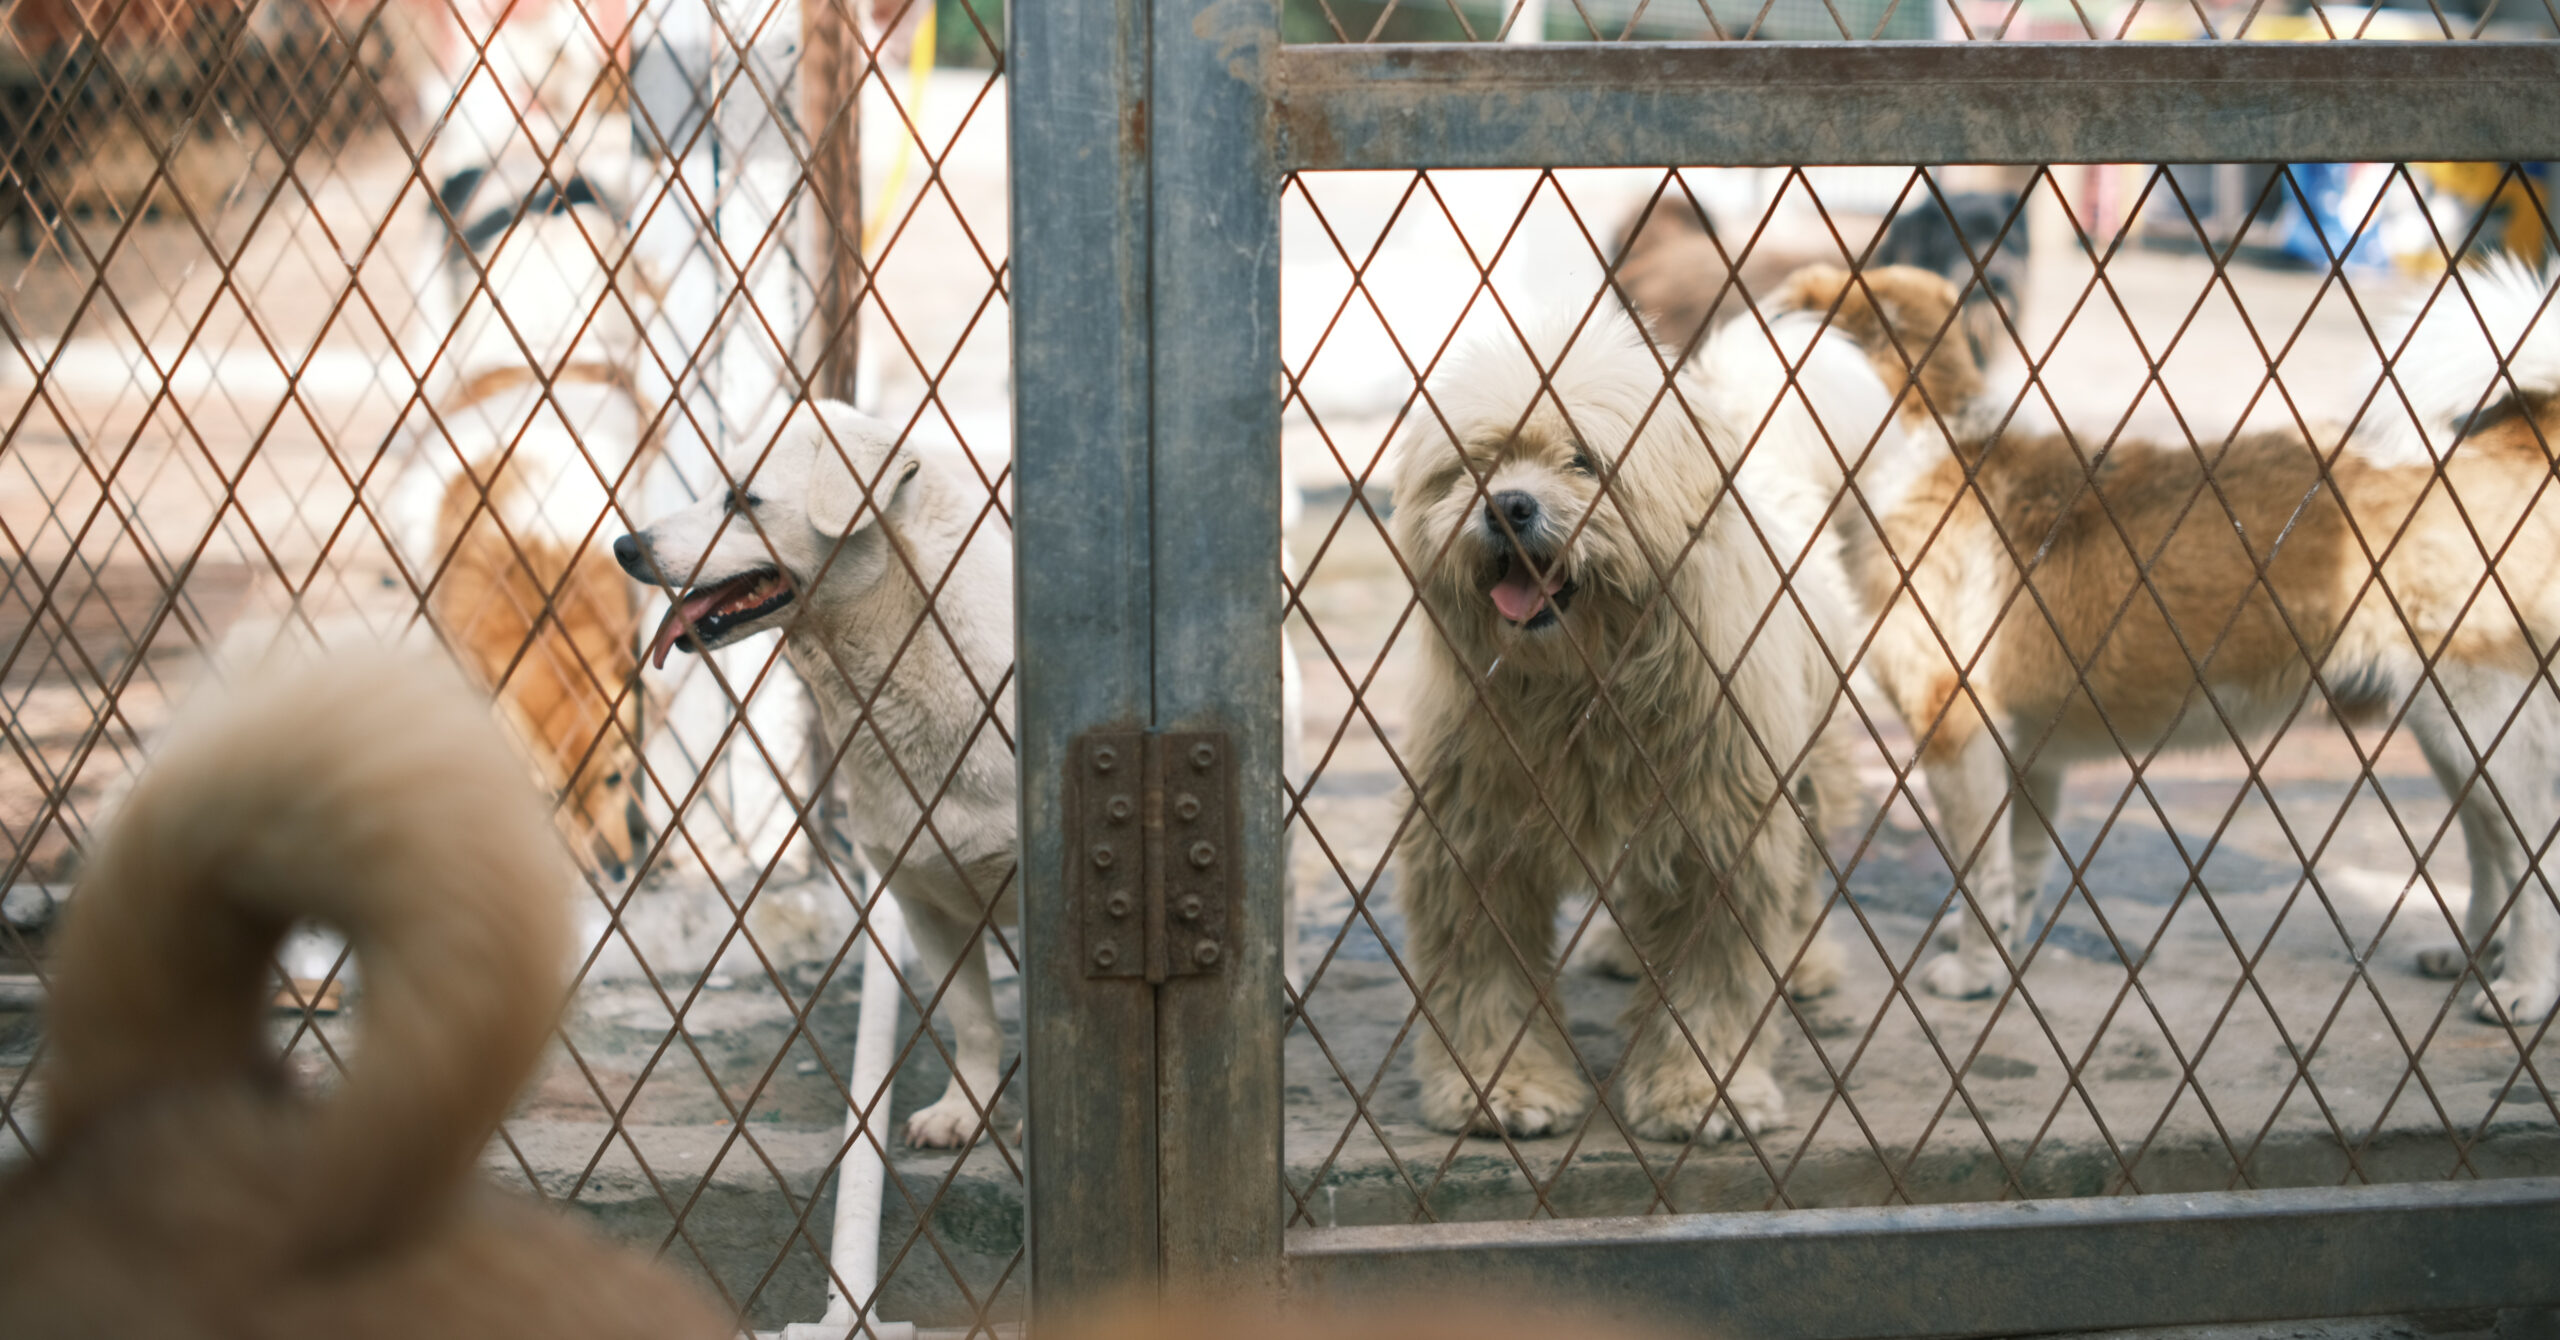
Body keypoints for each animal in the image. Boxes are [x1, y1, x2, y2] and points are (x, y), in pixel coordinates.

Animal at [1382, 306, 1863, 1142]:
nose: (1507, 505)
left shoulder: (1721, 838)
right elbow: (1486, 981)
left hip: (1812, 773)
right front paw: (1504, 1088)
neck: (1583, 686)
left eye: (1584, 462)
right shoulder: (1472, 843)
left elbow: (1712, 982)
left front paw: (1700, 1093)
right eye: (1477, 465)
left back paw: (1803, 964)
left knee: (1803, 880)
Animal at [1771, 257, 2560, 1024]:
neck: (1912, 449)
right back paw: (2469, 956)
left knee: (2533, 859)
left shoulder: (1955, 738)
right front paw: (2001, 958)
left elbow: (1979, 870)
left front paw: (1971, 974)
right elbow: (2016, 873)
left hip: (2480, 724)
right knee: (2489, 851)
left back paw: (2524, 989)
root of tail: (2513, 434)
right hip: (2451, 738)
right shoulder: (2029, 759)